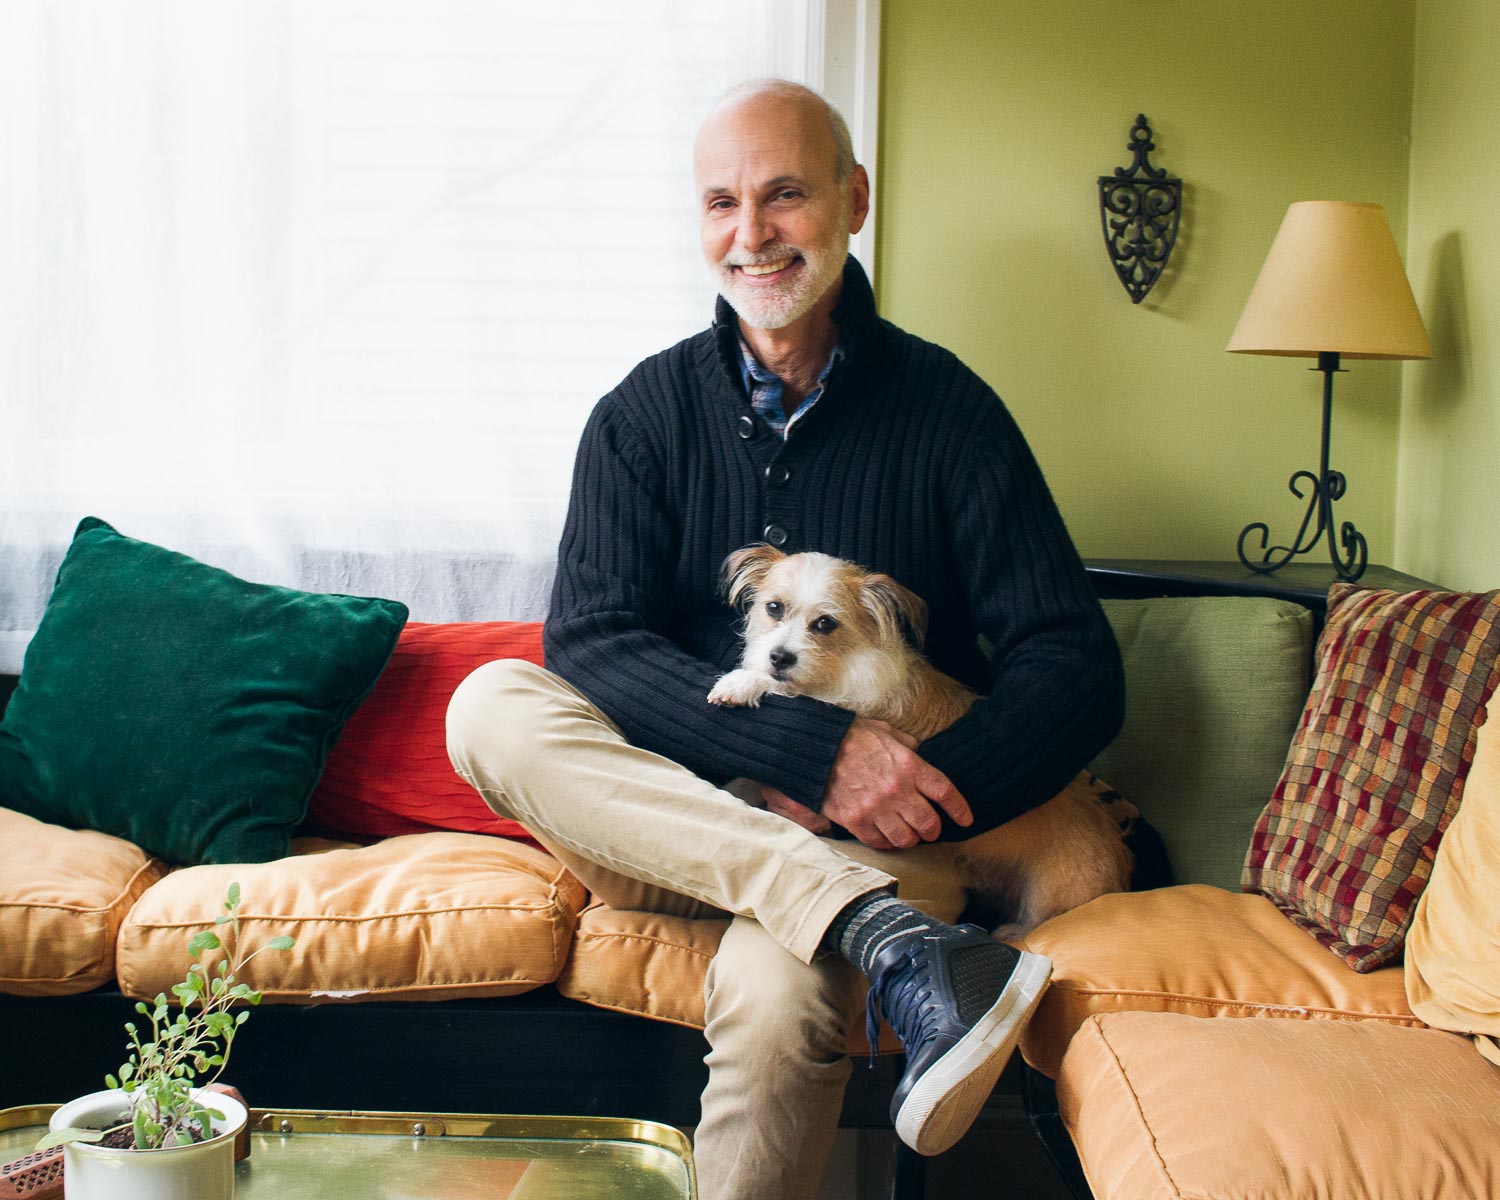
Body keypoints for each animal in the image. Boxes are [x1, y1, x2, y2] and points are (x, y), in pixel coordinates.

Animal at [702, 540, 1134, 942]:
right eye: (774, 608)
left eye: (825, 624)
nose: (779, 657)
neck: (843, 665)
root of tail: (1121, 868)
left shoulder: (847, 705)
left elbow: (793, 694)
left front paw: (742, 682)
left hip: (1051, 902)